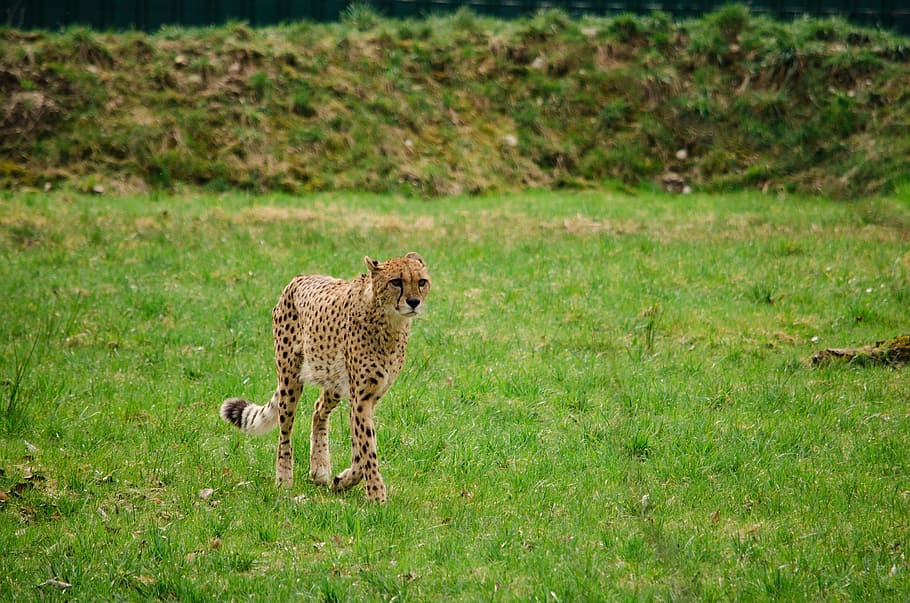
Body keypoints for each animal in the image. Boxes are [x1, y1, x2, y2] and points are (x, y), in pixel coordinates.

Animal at [220, 252, 431, 503]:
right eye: (396, 282)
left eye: (421, 282)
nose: (414, 301)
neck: (389, 322)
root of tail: (300, 277)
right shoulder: (361, 398)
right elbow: (367, 449)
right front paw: (377, 497)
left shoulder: (370, 397)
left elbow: (360, 450)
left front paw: (343, 481)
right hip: (290, 379)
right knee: (284, 431)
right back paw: (283, 479)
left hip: (334, 382)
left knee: (318, 408)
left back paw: (319, 468)